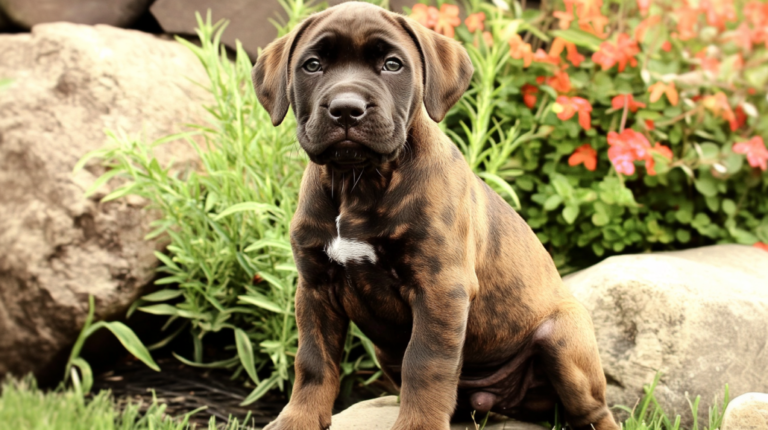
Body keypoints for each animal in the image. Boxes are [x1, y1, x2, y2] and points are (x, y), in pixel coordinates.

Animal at [252, 3, 616, 430]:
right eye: (312, 65)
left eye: (392, 64)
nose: (346, 109)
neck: (357, 183)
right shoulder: (315, 288)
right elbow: (313, 361)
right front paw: (298, 419)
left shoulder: (439, 287)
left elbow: (426, 361)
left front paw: (418, 425)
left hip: (563, 339)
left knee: (594, 410)